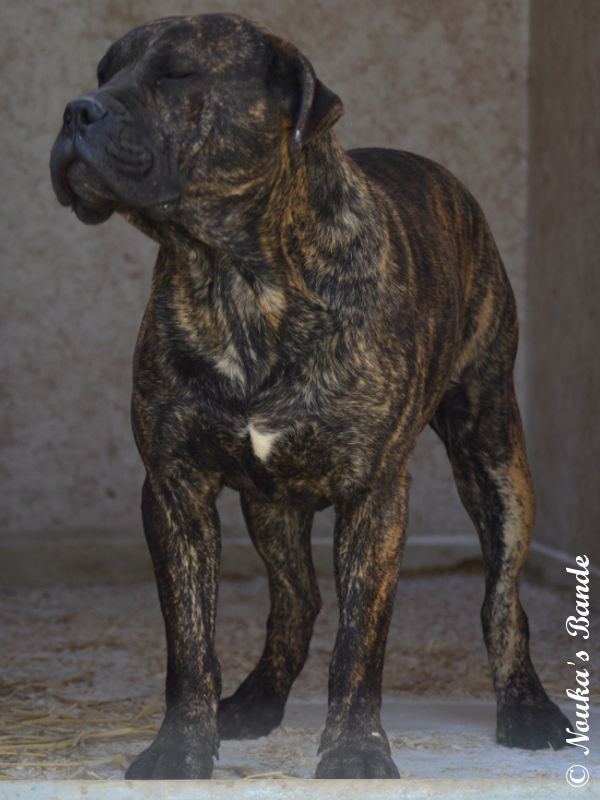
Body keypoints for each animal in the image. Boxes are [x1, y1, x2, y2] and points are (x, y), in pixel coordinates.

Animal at [49, 12, 568, 780]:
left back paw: (527, 707)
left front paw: (354, 749)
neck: (240, 283)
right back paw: (257, 700)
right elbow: (189, 643)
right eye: (103, 74)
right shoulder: (176, 489)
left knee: (503, 600)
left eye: (178, 74)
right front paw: (180, 747)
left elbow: (360, 645)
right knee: (297, 599)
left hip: (495, 457)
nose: (75, 111)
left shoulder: (374, 497)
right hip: (272, 506)